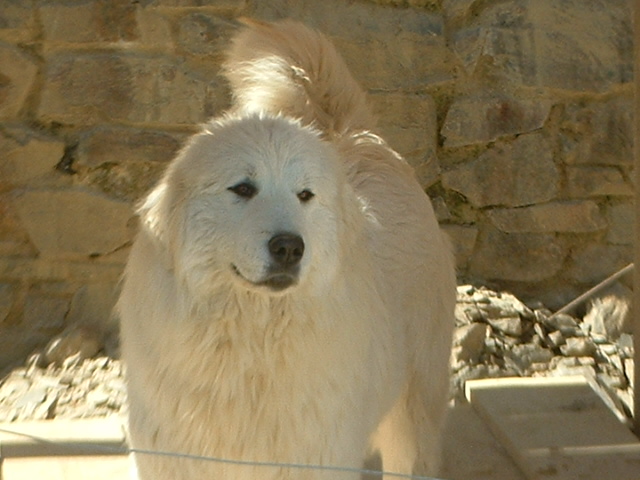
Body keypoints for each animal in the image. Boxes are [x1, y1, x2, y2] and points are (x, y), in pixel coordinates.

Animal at [116, 17, 456, 480]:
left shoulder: (311, 455)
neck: (252, 346)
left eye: (305, 195)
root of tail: (351, 134)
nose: (289, 248)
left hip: (415, 402)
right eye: (243, 188)